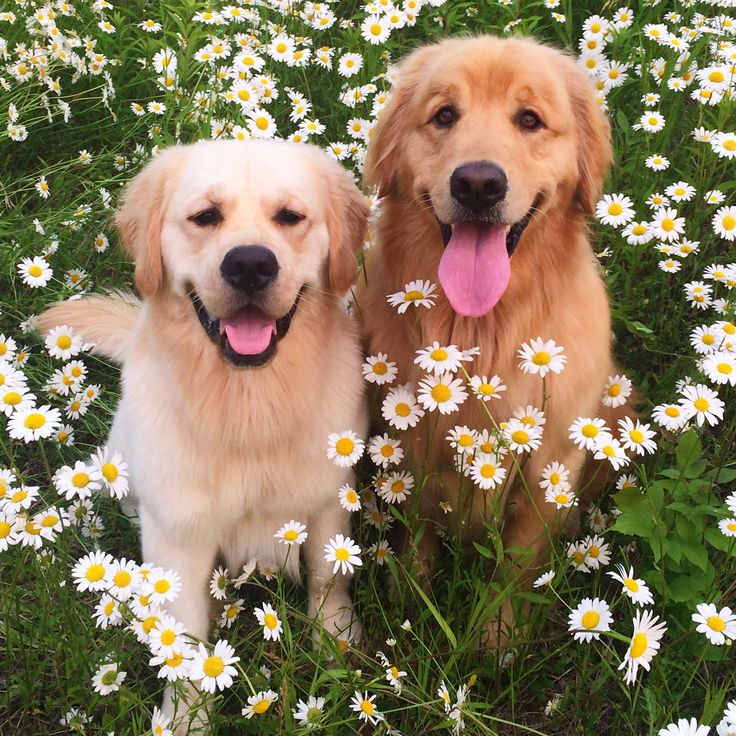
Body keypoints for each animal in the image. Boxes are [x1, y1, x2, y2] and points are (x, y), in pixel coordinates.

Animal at [37, 139, 368, 732]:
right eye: (205, 216)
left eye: (290, 217)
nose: (250, 264)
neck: (248, 405)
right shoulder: (178, 537)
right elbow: (183, 645)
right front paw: (186, 719)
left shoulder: (329, 498)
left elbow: (328, 580)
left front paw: (337, 645)